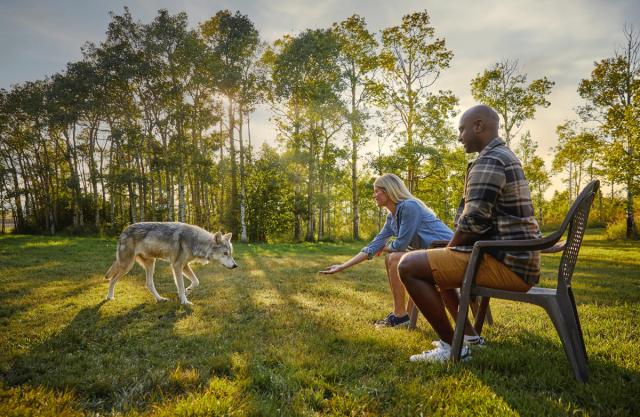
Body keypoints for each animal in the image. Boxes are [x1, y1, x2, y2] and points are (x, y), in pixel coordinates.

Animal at [105, 221, 238, 306]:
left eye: (231, 253)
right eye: (225, 253)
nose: (235, 266)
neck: (195, 241)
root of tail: (123, 231)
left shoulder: (184, 266)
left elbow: (196, 282)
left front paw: (187, 291)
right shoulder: (177, 266)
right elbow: (180, 285)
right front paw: (184, 301)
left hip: (150, 264)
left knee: (149, 284)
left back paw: (160, 299)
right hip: (126, 265)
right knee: (112, 279)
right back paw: (110, 297)